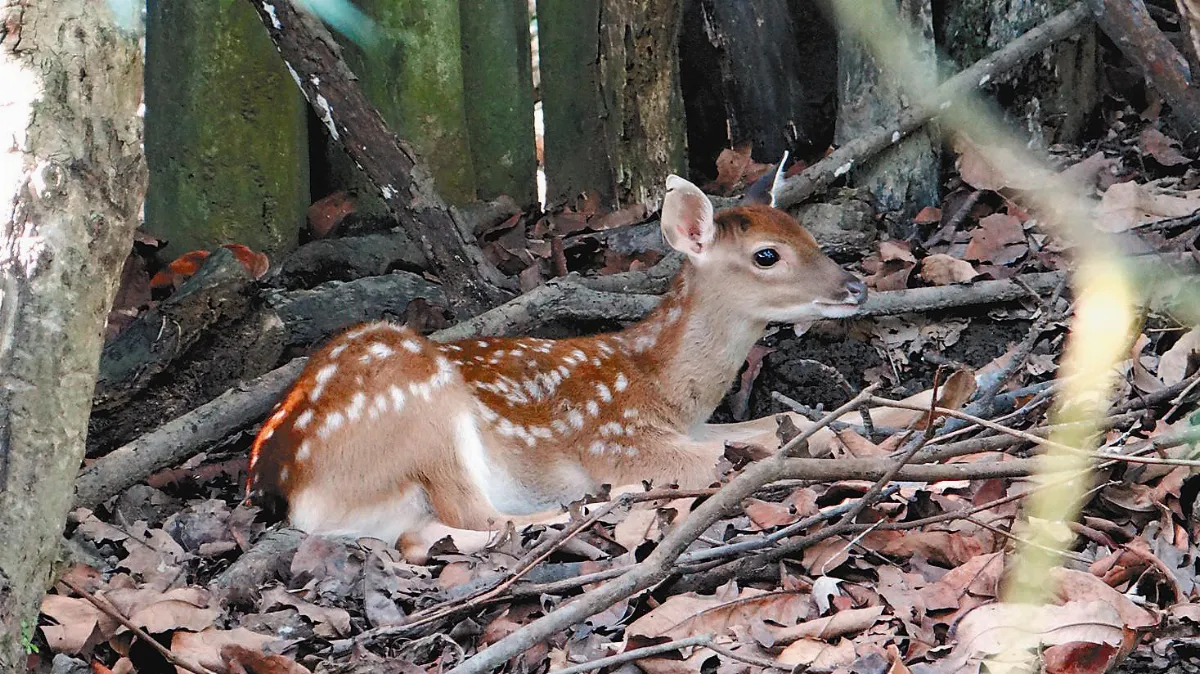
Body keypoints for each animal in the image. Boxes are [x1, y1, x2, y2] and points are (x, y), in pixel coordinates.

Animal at [246, 168, 934, 562]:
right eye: (768, 255)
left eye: (806, 232)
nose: (855, 287)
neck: (660, 383)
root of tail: (287, 484)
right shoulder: (620, 438)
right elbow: (750, 451)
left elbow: (775, 425)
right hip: (420, 407)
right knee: (476, 516)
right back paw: (604, 505)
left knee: (423, 535)